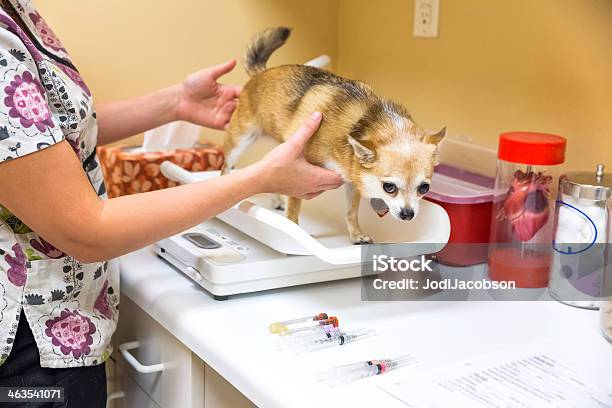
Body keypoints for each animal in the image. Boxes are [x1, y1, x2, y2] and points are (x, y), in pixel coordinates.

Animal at [220, 29, 444, 245]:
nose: (408, 214)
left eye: (424, 188)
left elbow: (351, 212)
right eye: (389, 187)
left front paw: (356, 235)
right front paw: (295, 232)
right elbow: (294, 208)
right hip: (241, 138)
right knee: (226, 166)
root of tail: (262, 73)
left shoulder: (353, 180)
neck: (362, 121)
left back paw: (277, 200)